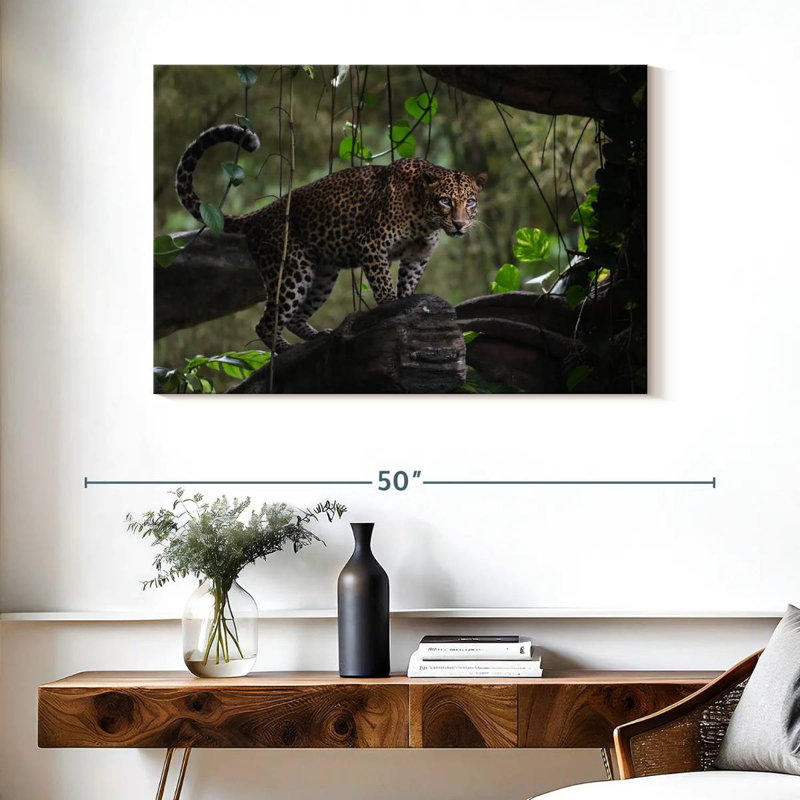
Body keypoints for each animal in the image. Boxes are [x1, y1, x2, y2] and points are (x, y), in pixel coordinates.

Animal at [175, 124, 487, 353]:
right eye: (445, 201)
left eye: (470, 202)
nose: (460, 224)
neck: (425, 219)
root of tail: (260, 214)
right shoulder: (371, 244)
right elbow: (384, 287)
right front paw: (390, 310)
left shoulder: (417, 257)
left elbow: (407, 285)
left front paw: (408, 305)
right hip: (291, 270)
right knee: (266, 321)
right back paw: (284, 349)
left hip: (323, 274)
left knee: (296, 316)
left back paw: (316, 336)